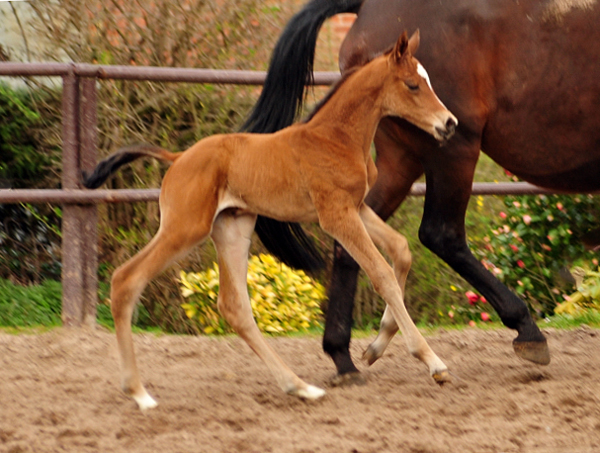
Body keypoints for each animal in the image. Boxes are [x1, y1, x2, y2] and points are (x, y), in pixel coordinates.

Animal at [84, 31, 458, 406]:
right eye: (412, 85)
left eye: (426, 80)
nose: (449, 123)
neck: (335, 137)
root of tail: (177, 158)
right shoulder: (336, 215)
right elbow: (381, 272)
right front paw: (433, 362)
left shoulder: (357, 207)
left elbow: (401, 250)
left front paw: (376, 347)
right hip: (185, 228)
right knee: (126, 280)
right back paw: (138, 392)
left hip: (232, 228)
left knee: (234, 307)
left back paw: (299, 386)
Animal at [247, 0, 600, 384]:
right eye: (414, 85)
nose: (447, 121)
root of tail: (367, 6)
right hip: (452, 149)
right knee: (441, 234)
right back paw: (525, 330)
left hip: (398, 159)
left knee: (357, 243)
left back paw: (346, 353)